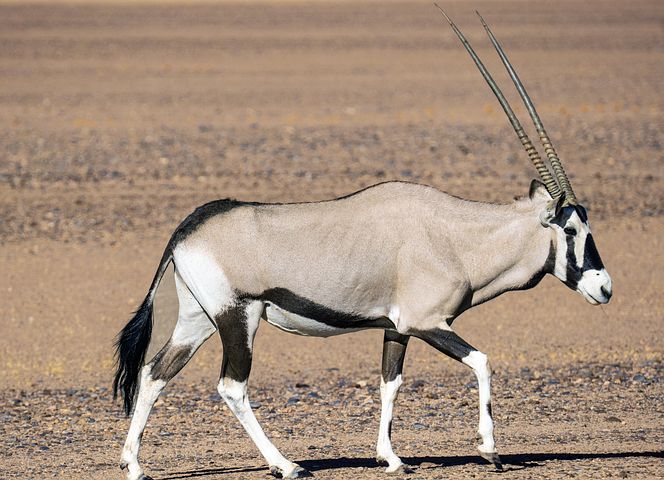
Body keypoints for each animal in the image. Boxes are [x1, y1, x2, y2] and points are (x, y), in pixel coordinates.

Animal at [114, 7, 612, 480]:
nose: (604, 288)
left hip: (199, 318)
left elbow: (390, 383)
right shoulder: (428, 321)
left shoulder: (397, 326)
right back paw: (288, 465)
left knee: (154, 373)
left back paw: (135, 465)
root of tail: (187, 228)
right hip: (239, 317)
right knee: (232, 387)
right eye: (571, 230)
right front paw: (489, 450)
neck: (456, 238)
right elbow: (483, 362)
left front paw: (391, 458)